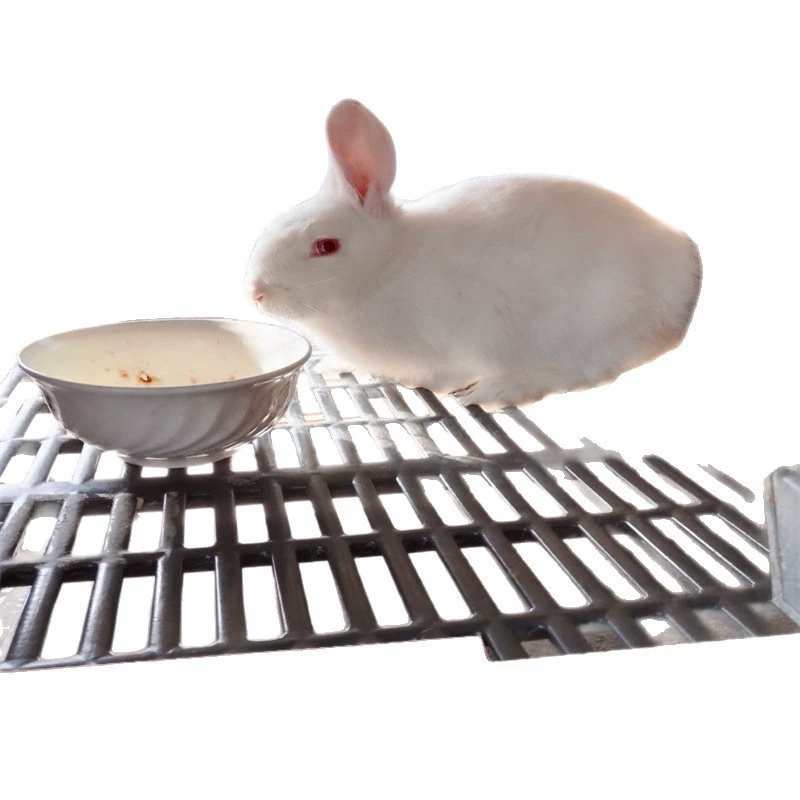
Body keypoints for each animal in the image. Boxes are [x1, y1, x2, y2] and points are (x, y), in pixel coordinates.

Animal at [245, 99, 702, 410]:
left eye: (326, 246)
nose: (256, 292)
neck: (388, 267)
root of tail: (684, 268)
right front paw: (333, 366)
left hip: (585, 327)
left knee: (577, 372)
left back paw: (493, 390)